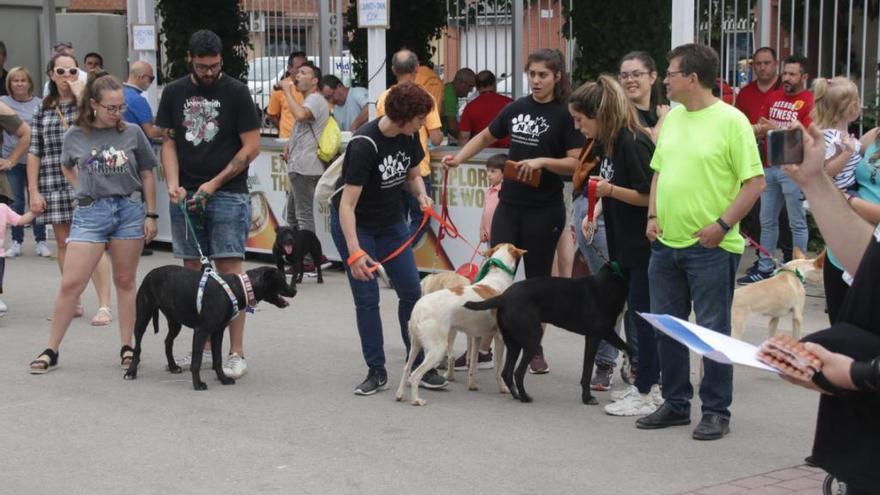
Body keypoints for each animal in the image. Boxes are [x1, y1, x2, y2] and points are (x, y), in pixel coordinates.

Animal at [123, 268, 300, 392]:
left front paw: (223, 379)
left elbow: (218, 360)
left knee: (167, 342)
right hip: (143, 317)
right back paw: (131, 371)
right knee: (138, 347)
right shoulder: (201, 331)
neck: (239, 287)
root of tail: (151, 273)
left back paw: (173, 366)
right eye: (282, 280)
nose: (295, 291)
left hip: (175, 322)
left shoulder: (218, 332)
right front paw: (198, 383)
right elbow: (196, 361)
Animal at [396, 245, 524, 406]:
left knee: (406, 369)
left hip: (416, 345)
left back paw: (400, 394)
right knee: (415, 375)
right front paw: (503, 388)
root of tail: (419, 307)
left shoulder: (476, 337)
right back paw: (416, 400)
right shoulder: (500, 338)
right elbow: (498, 369)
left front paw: (472, 385)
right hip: (437, 348)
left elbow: (473, 364)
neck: (497, 279)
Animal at [464, 266, 628, 404]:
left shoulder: (607, 332)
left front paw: (627, 370)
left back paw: (517, 395)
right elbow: (587, 372)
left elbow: (628, 348)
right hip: (532, 338)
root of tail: (503, 297)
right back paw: (525, 397)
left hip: (513, 343)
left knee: (507, 373)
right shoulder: (595, 336)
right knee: (518, 372)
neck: (609, 283)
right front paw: (587, 398)